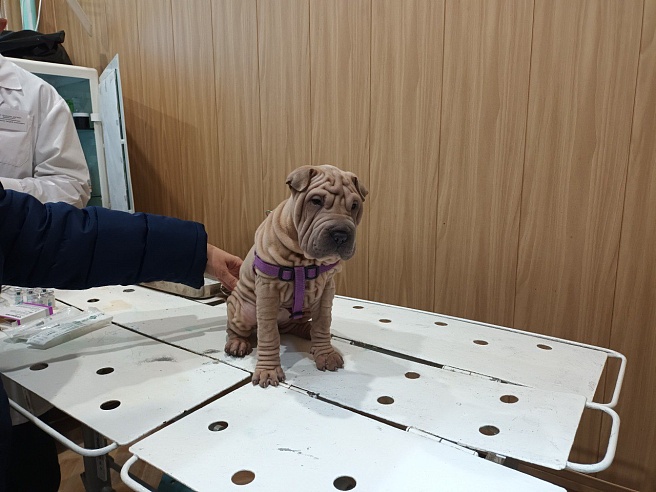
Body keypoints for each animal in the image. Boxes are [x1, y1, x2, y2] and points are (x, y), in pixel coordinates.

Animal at [225, 165, 367, 387]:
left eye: (354, 206)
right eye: (315, 201)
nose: (341, 234)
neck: (304, 260)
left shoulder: (326, 289)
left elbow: (323, 322)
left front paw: (325, 353)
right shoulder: (267, 290)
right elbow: (268, 333)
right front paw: (268, 371)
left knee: (297, 325)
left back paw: (308, 331)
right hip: (242, 309)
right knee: (238, 328)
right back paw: (237, 343)